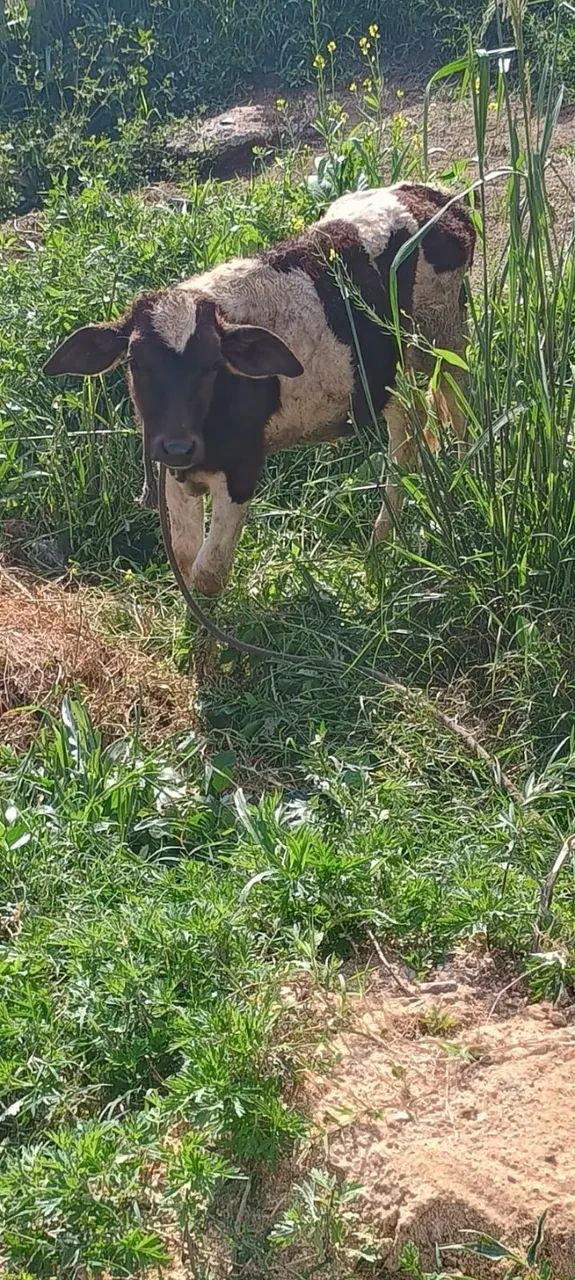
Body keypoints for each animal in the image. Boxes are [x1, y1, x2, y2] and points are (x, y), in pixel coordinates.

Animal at [44, 182, 475, 596]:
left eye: (212, 365)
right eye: (135, 363)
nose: (178, 446)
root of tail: (434, 195)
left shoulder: (242, 465)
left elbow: (208, 574)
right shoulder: (171, 470)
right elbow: (184, 559)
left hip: (446, 338)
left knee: (458, 412)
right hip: (390, 377)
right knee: (411, 431)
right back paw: (381, 544)